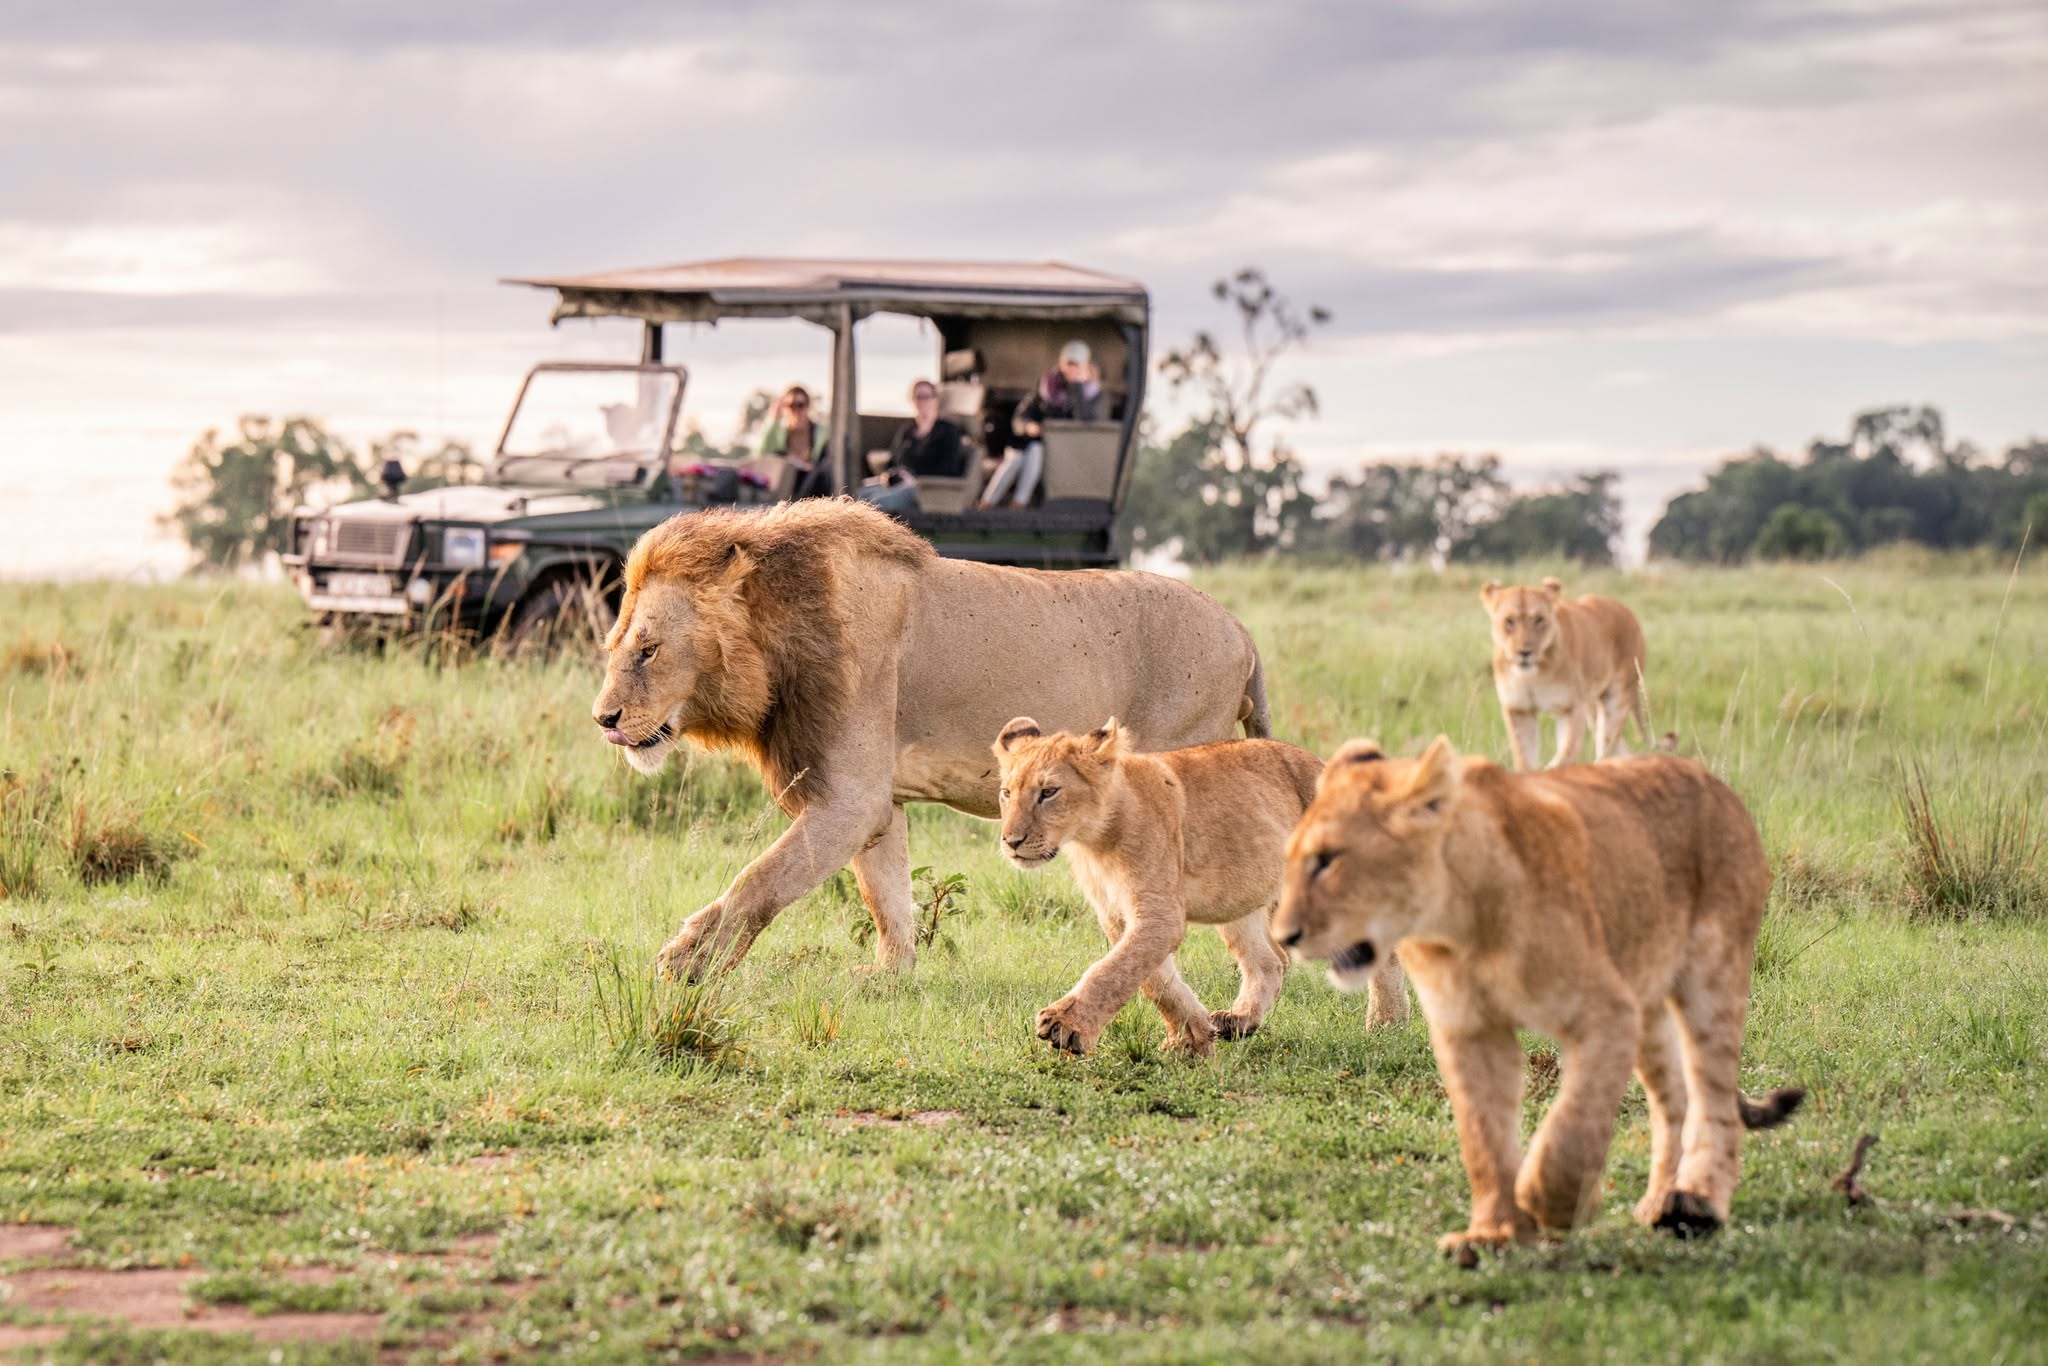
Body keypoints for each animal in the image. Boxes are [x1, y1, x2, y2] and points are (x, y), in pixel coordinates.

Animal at [591, 499, 1271, 980]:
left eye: (649, 651)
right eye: (614, 646)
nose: (604, 719)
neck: (775, 632)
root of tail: (1243, 630)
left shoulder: (849, 799)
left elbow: (759, 880)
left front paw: (685, 963)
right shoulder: (875, 802)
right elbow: (886, 894)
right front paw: (891, 977)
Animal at [991, 718, 1407, 1058]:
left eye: (1049, 792)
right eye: (1007, 793)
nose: (1011, 841)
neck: (1094, 840)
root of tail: (1324, 766)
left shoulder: (1160, 913)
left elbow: (1112, 971)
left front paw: (1065, 1026)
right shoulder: (1117, 915)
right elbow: (1152, 979)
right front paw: (1191, 1036)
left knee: (1383, 952)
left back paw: (1387, 1025)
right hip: (1239, 898)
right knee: (1270, 960)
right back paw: (1239, 1019)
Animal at [1272, 737, 1803, 1257]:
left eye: (1328, 860)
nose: (1284, 936)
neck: (1457, 923)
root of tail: (1718, 786)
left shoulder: (1607, 1014)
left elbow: (1573, 1124)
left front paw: (1554, 1204)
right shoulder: (1470, 1029)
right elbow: (1483, 1136)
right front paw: (1493, 1233)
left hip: (1710, 979)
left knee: (1715, 1101)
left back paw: (1698, 1207)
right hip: (1647, 1002)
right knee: (1674, 1099)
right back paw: (1659, 1202)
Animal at [1481, 578, 1647, 770]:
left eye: (1539, 619)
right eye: (1509, 621)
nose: (1524, 652)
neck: (1532, 676)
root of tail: (1627, 611)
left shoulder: (1571, 708)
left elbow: (1564, 756)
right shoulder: (1519, 710)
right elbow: (1524, 759)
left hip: (1616, 700)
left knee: (1607, 747)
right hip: (1592, 706)